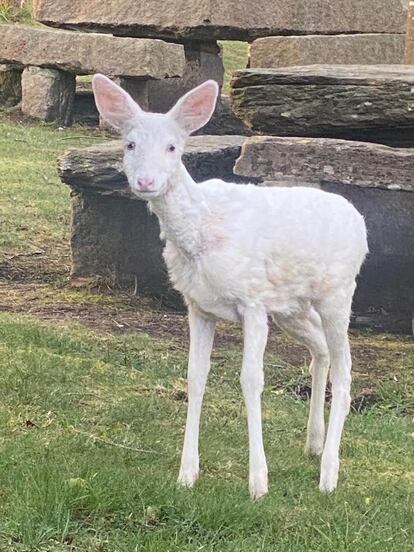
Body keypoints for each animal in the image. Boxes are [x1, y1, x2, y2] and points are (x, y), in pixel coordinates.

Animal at [91, 75, 368, 498]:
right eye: (130, 144)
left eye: (173, 147)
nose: (146, 181)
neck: (201, 230)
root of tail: (360, 222)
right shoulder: (198, 306)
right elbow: (195, 376)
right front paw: (187, 474)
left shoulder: (252, 301)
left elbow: (251, 380)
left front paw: (258, 482)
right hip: (291, 306)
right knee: (320, 350)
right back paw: (313, 443)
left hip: (338, 292)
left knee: (346, 372)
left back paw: (329, 474)